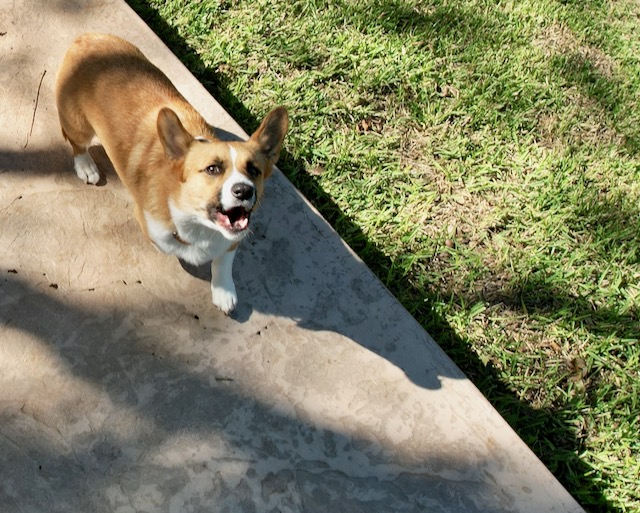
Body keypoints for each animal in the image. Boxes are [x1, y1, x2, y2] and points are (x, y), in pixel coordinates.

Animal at [56, 33, 288, 312]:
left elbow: (223, 262)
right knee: (77, 144)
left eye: (253, 170)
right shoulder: (154, 227)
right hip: (78, 125)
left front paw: (223, 291)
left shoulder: (230, 241)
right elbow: (166, 244)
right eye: (213, 169)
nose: (244, 191)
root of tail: (87, 37)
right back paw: (86, 166)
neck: (200, 224)